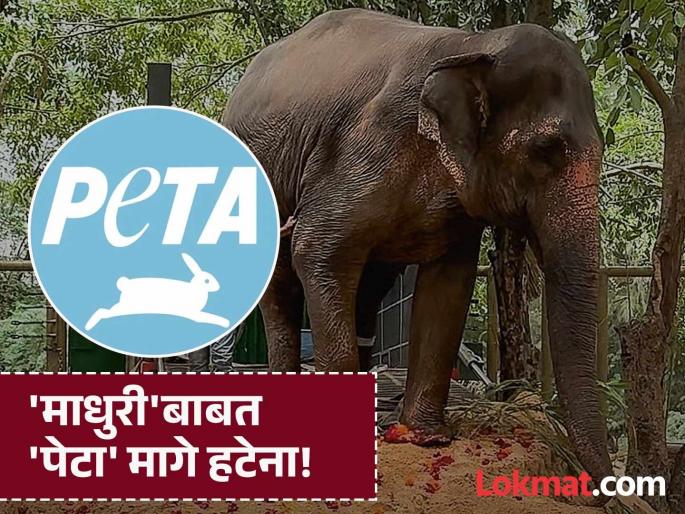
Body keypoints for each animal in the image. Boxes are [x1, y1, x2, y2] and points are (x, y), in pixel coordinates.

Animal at [224, 8, 612, 489]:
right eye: (544, 150)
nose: (608, 491)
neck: (473, 44)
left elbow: (448, 283)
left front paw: (424, 437)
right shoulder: (363, 150)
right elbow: (316, 250)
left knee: (366, 294)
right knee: (282, 288)